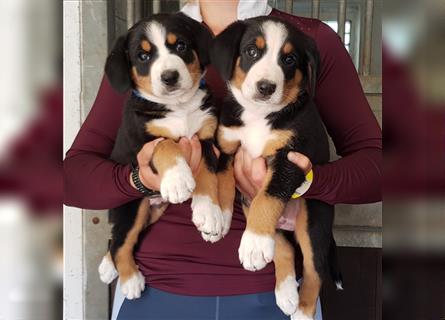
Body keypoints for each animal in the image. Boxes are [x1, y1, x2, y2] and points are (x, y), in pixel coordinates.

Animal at [98, 13, 232, 300]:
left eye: (180, 46)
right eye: (143, 56)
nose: (170, 76)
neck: (179, 107)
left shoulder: (206, 140)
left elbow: (208, 177)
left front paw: (209, 213)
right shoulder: (144, 143)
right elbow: (167, 147)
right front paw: (178, 180)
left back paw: (108, 266)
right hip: (133, 206)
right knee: (121, 241)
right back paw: (129, 280)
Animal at [210, 16, 342, 318]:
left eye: (289, 59)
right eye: (251, 51)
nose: (266, 87)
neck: (259, 115)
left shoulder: (289, 160)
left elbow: (267, 199)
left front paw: (254, 243)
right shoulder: (226, 149)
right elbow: (223, 185)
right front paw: (220, 217)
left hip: (313, 217)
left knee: (314, 269)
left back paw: (302, 310)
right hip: (255, 207)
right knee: (284, 248)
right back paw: (285, 293)